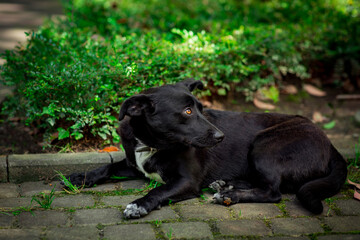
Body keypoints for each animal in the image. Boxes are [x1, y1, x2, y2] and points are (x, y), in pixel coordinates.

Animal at [66, 79, 348, 218]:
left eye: (202, 109)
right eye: (188, 111)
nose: (221, 136)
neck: (152, 144)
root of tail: (331, 144)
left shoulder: (186, 182)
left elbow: (159, 190)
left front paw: (139, 204)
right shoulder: (133, 165)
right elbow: (107, 167)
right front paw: (81, 177)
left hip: (264, 145)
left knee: (273, 192)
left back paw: (230, 195)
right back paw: (225, 185)